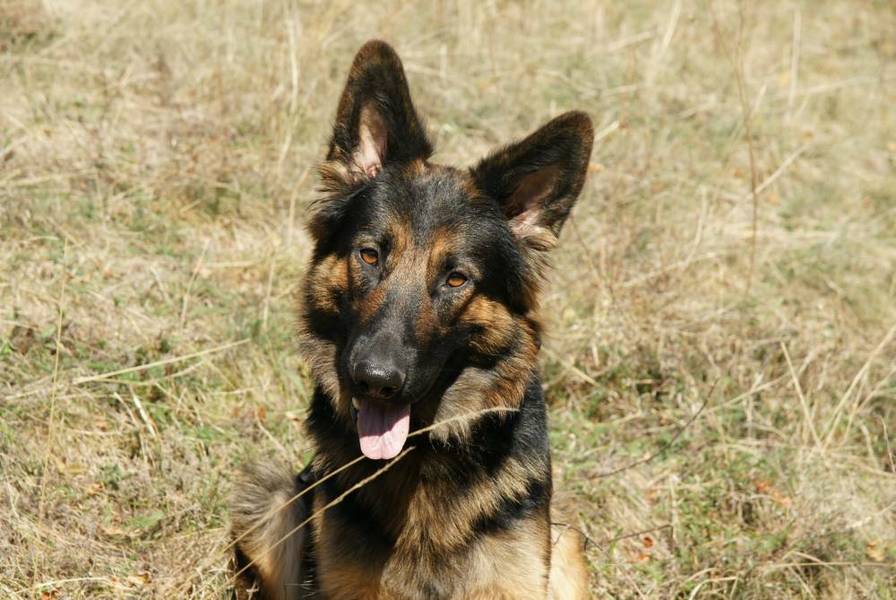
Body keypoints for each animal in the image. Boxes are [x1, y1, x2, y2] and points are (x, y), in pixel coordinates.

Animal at [231, 39, 596, 596]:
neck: (418, 455)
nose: (375, 380)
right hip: (271, 502)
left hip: (567, 542)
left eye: (456, 279)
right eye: (370, 255)